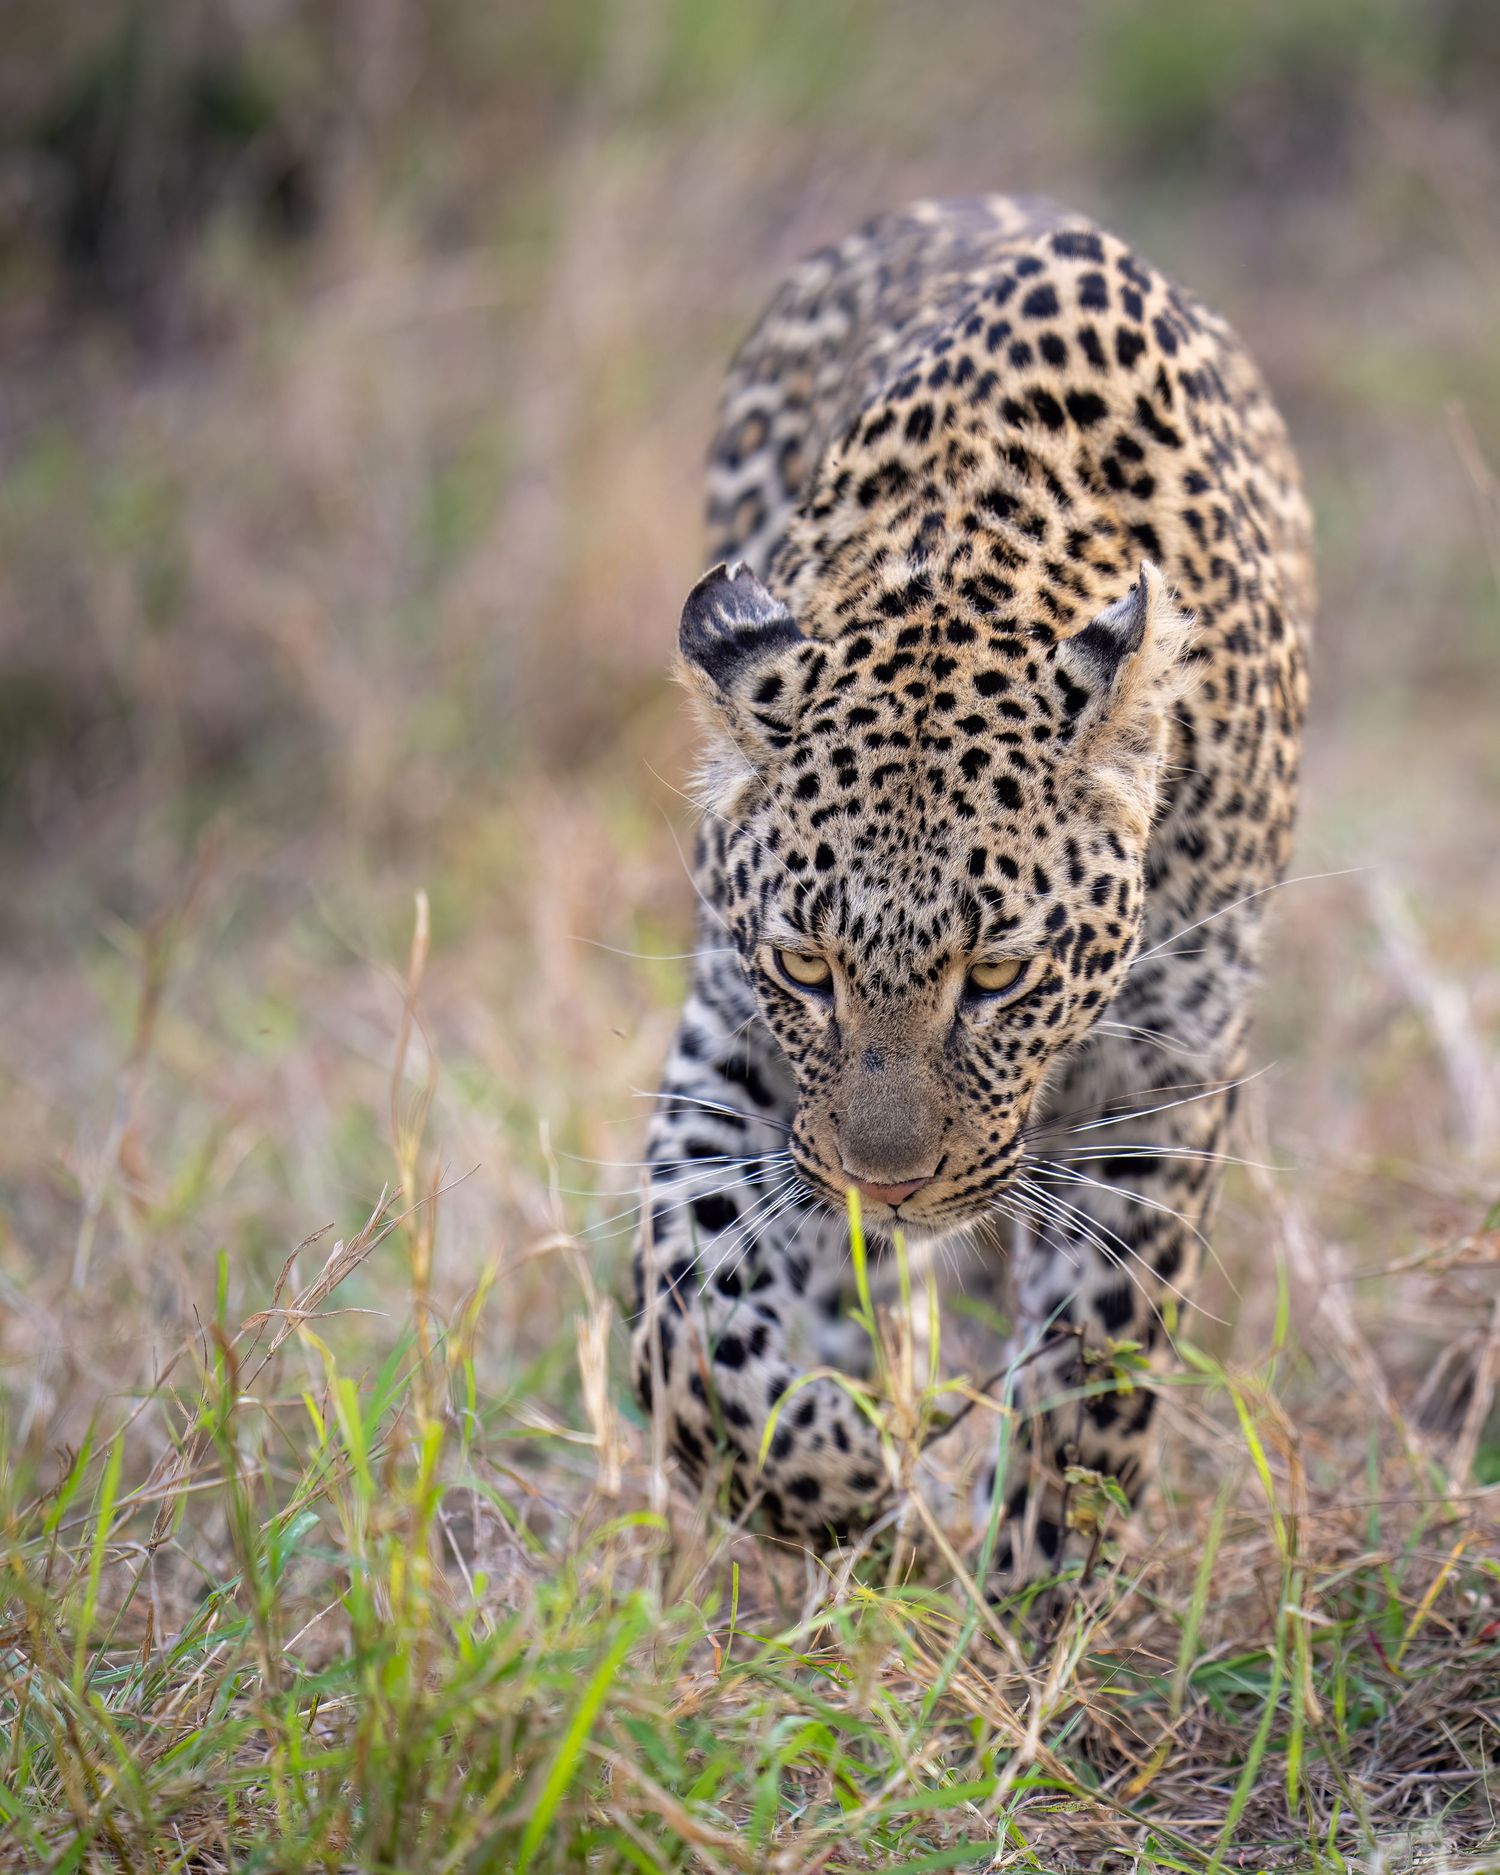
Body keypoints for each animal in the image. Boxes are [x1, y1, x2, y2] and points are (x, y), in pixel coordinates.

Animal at [629, 194, 1313, 1585]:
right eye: (808, 968)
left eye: (996, 976)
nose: (887, 1186)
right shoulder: (733, 1028)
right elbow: (681, 1311)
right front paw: (842, 1491)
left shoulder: (1163, 1073)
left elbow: (1090, 1382)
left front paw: (1028, 1603)